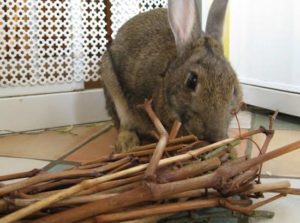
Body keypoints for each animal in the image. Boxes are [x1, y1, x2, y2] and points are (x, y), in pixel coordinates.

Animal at [102, 0, 243, 152]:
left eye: (234, 89)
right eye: (191, 81)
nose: (214, 136)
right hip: (114, 90)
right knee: (124, 124)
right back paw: (127, 144)